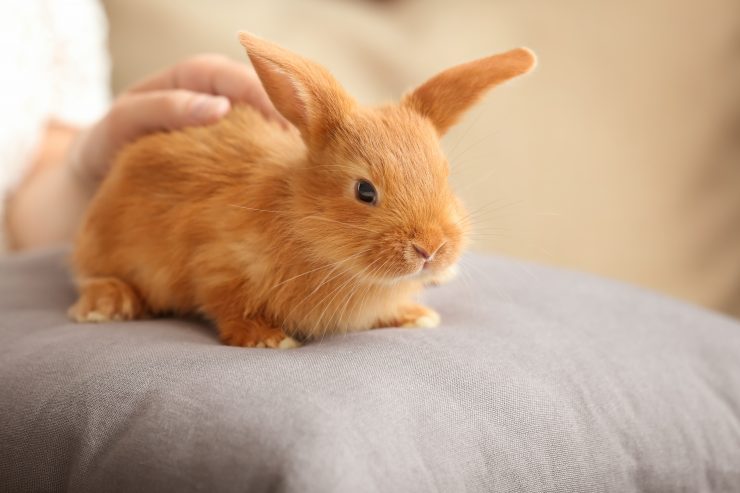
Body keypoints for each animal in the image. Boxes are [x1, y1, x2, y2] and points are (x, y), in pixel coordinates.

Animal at [69, 32, 536, 348]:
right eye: (365, 191)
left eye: (445, 175)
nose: (432, 248)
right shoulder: (217, 266)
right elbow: (228, 307)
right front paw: (267, 339)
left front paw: (416, 316)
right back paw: (105, 306)